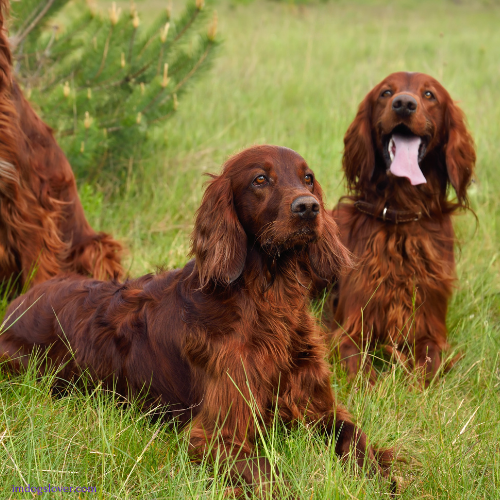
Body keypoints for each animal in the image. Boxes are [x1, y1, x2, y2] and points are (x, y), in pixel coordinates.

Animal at [0, 146, 394, 496]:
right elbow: (270, 477)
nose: (308, 207)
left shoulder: (321, 409)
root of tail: (17, 303)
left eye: (308, 178)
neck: (269, 303)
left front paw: (383, 476)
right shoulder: (217, 435)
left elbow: (355, 438)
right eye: (260, 179)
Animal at [326, 70, 474, 384]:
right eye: (386, 92)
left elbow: (429, 362)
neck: (401, 213)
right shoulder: (349, 329)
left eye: (429, 94)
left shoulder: (430, 328)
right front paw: (375, 386)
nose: (404, 104)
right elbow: (358, 365)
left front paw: (414, 384)